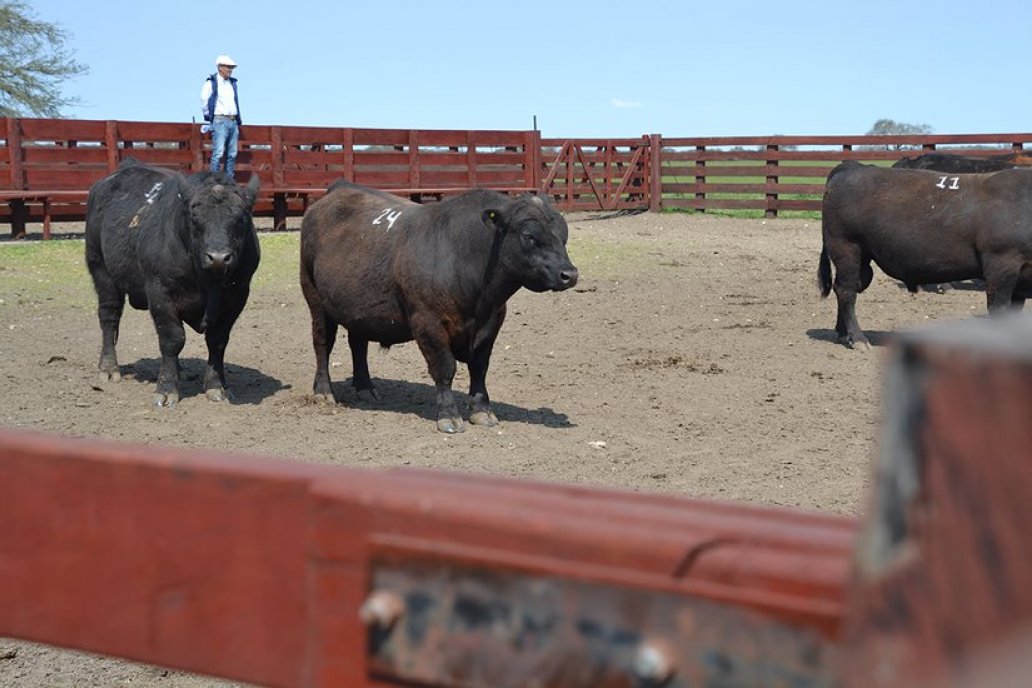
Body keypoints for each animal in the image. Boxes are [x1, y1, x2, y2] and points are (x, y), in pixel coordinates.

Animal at [85, 159, 262, 408]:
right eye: (195, 218)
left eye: (241, 218)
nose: (218, 257)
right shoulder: (160, 292)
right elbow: (172, 339)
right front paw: (167, 389)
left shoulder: (237, 295)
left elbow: (217, 341)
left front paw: (217, 386)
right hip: (102, 271)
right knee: (109, 318)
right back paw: (109, 368)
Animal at [299, 180, 582, 433]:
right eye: (529, 236)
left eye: (564, 235)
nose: (569, 274)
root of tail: (339, 189)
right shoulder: (429, 323)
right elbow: (445, 368)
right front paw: (449, 416)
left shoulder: (492, 322)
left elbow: (480, 367)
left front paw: (482, 411)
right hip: (315, 298)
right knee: (322, 344)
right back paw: (323, 392)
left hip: (359, 308)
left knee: (358, 344)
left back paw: (365, 387)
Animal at [817, 161, 1032, 350]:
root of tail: (853, 167)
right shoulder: (1002, 264)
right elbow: (999, 309)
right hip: (846, 248)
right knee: (846, 291)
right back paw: (857, 338)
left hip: (862, 257)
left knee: (847, 286)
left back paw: (843, 334)